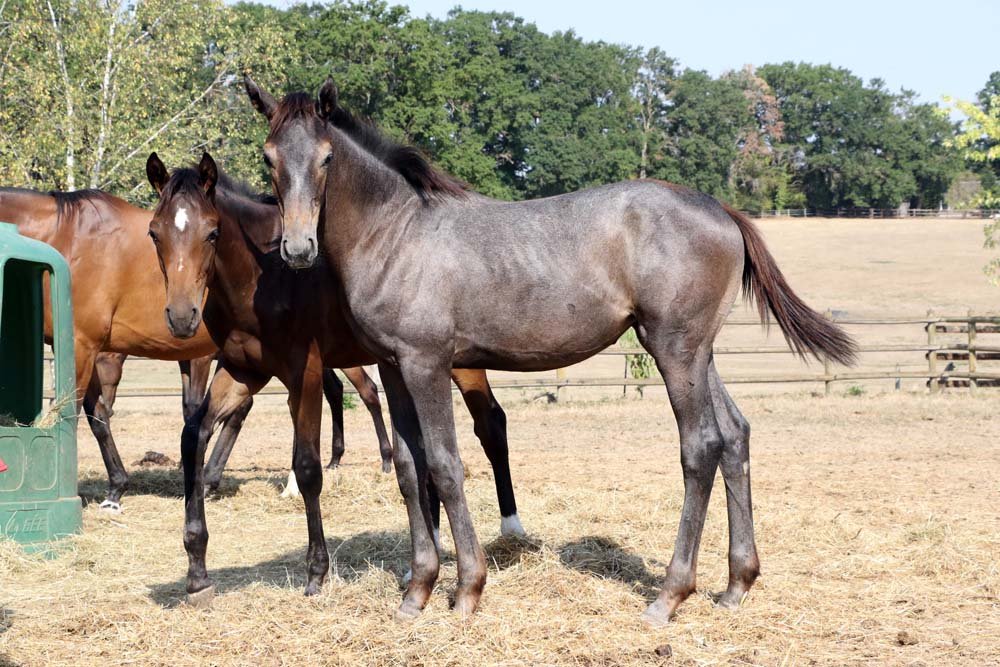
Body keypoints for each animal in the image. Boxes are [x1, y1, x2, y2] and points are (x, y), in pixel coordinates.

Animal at [0, 186, 390, 510]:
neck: (71, 239)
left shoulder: (89, 348)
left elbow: (81, 413)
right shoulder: (95, 352)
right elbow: (99, 415)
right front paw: (117, 487)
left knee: (356, 394)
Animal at [144, 151, 523, 605]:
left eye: (212, 232)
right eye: (154, 233)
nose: (182, 317)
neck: (264, 277)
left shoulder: (303, 371)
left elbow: (307, 466)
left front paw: (316, 572)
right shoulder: (242, 371)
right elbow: (193, 436)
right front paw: (197, 572)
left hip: (456, 362)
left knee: (491, 424)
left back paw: (511, 529)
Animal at [243, 76, 857, 623]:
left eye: (326, 158)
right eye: (269, 156)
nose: (298, 249)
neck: (397, 235)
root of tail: (722, 210)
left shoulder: (427, 362)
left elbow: (445, 465)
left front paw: (467, 591)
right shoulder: (394, 367)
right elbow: (409, 471)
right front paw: (416, 593)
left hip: (674, 349)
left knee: (701, 446)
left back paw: (669, 596)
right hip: (700, 354)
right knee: (734, 436)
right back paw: (736, 584)